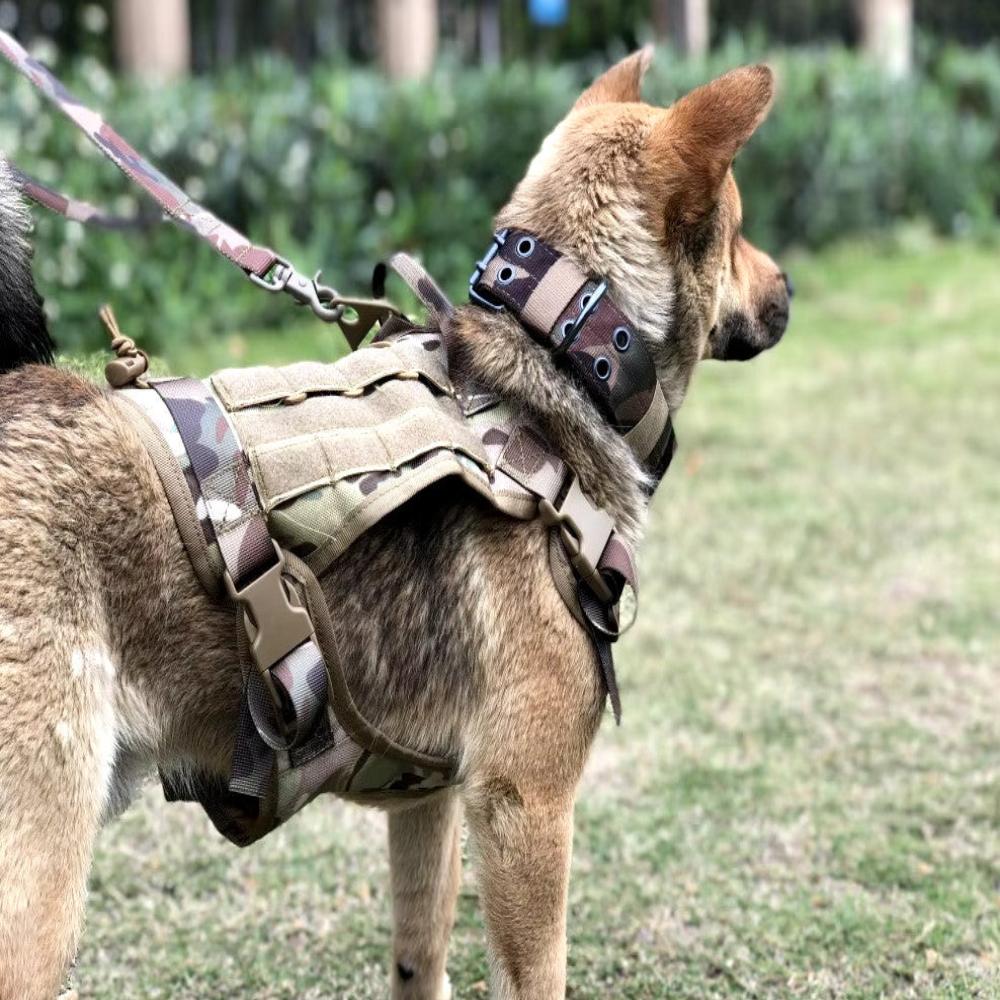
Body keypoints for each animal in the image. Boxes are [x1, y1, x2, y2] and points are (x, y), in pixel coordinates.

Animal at [0, 50, 788, 996]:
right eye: (737, 231)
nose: (788, 288)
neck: (552, 369)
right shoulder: (524, 806)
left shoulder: (430, 801)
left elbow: (420, 955)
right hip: (37, 893)